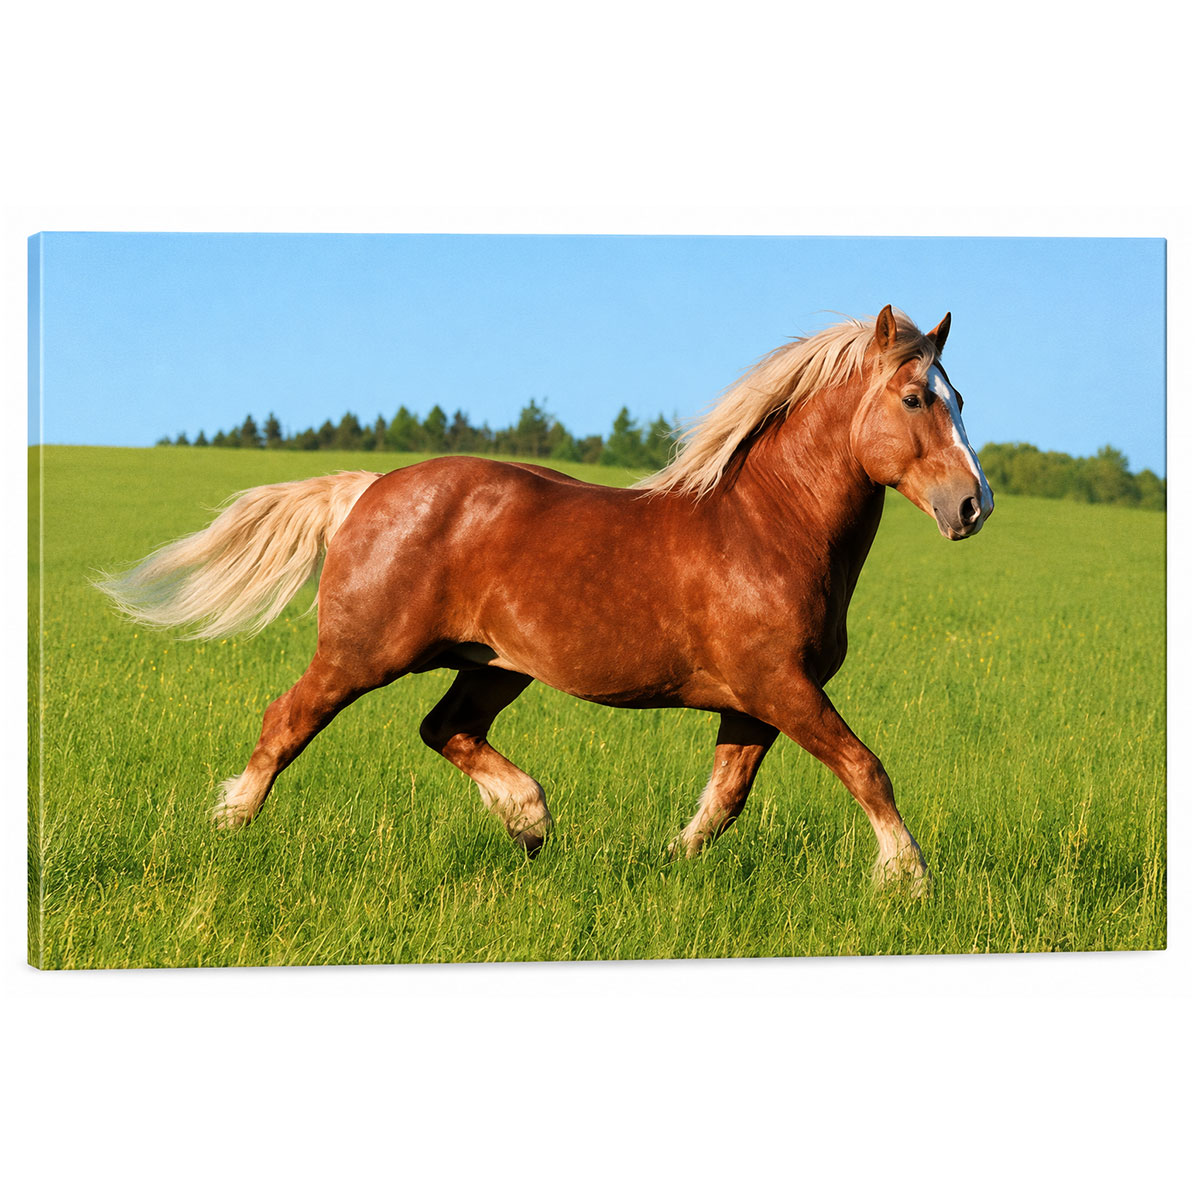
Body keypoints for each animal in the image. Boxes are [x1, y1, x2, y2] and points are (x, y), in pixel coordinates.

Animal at [97, 305, 993, 893]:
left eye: (961, 399)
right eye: (916, 398)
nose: (973, 506)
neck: (769, 526)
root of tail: (366, 489)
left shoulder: (755, 702)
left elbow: (724, 800)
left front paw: (666, 866)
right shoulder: (780, 686)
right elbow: (866, 768)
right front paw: (909, 879)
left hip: (495, 663)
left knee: (444, 728)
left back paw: (530, 820)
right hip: (364, 652)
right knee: (287, 719)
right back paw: (230, 825)